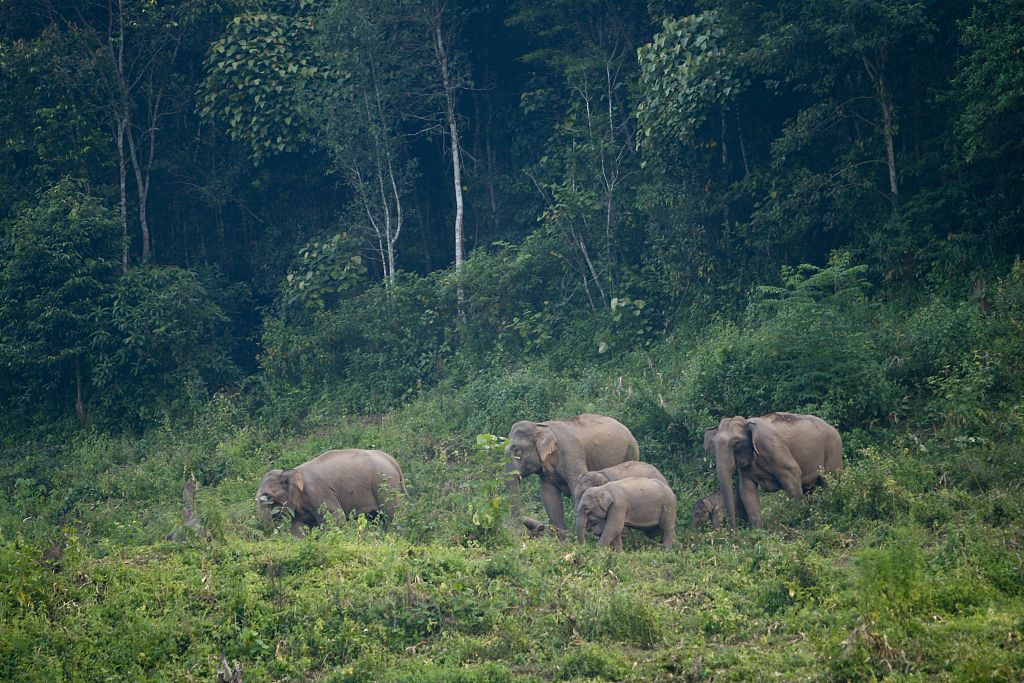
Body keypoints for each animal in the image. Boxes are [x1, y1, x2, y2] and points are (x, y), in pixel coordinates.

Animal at [256, 449, 407, 536]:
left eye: (268, 496)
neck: (292, 470)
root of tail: (393, 461)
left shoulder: (318, 493)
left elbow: (336, 518)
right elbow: (298, 528)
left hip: (385, 485)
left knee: (393, 512)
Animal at [504, 414, 639, 539]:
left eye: (517, 450)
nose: (540, 527)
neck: (539, 426)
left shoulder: (572, 455)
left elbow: (576, 487)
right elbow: (549, 497)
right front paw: (562, 542)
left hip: (631, 452)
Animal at [705, 412, 843, 530]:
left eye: (736, 443)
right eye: (713, 445)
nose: (734, 535)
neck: (747, 422)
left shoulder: (772, 446)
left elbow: (792, 473)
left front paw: (800, 521)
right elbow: (747, 491)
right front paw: (759, 533)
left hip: (833, 449)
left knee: (828, 480)